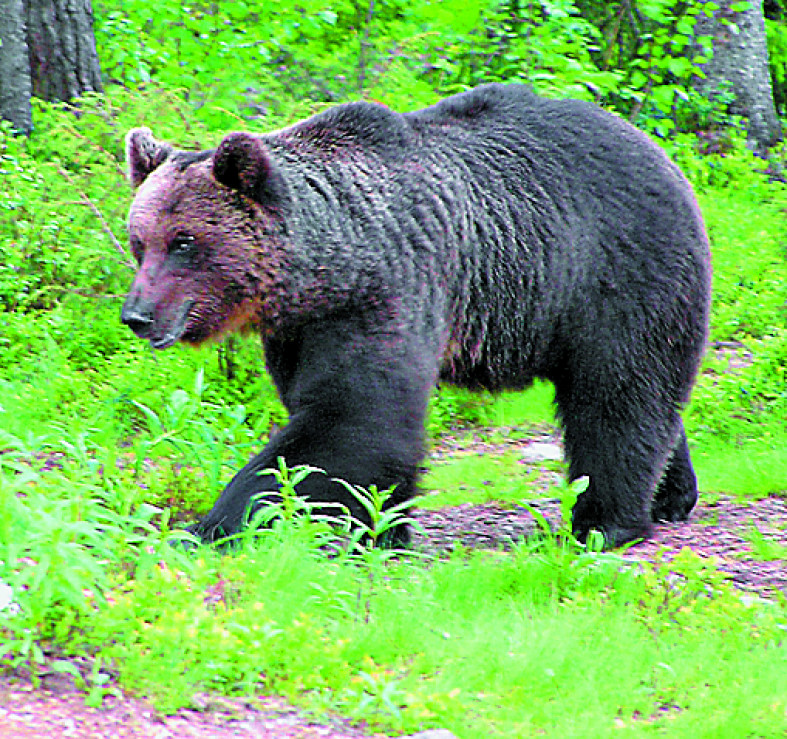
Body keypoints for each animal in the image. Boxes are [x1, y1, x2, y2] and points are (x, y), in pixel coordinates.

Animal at [121, 85, 716, 548]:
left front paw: (206, 526)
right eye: (139, 242)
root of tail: (659, 151)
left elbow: (353, 418)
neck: (326, 267)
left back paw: (606, 523)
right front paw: (381, 527)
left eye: (184, 242)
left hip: (614, 270)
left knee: (617, 395)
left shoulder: (386, 293)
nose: (138, 315)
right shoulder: (300, 329)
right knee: (645, 392)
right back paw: (672, 494)